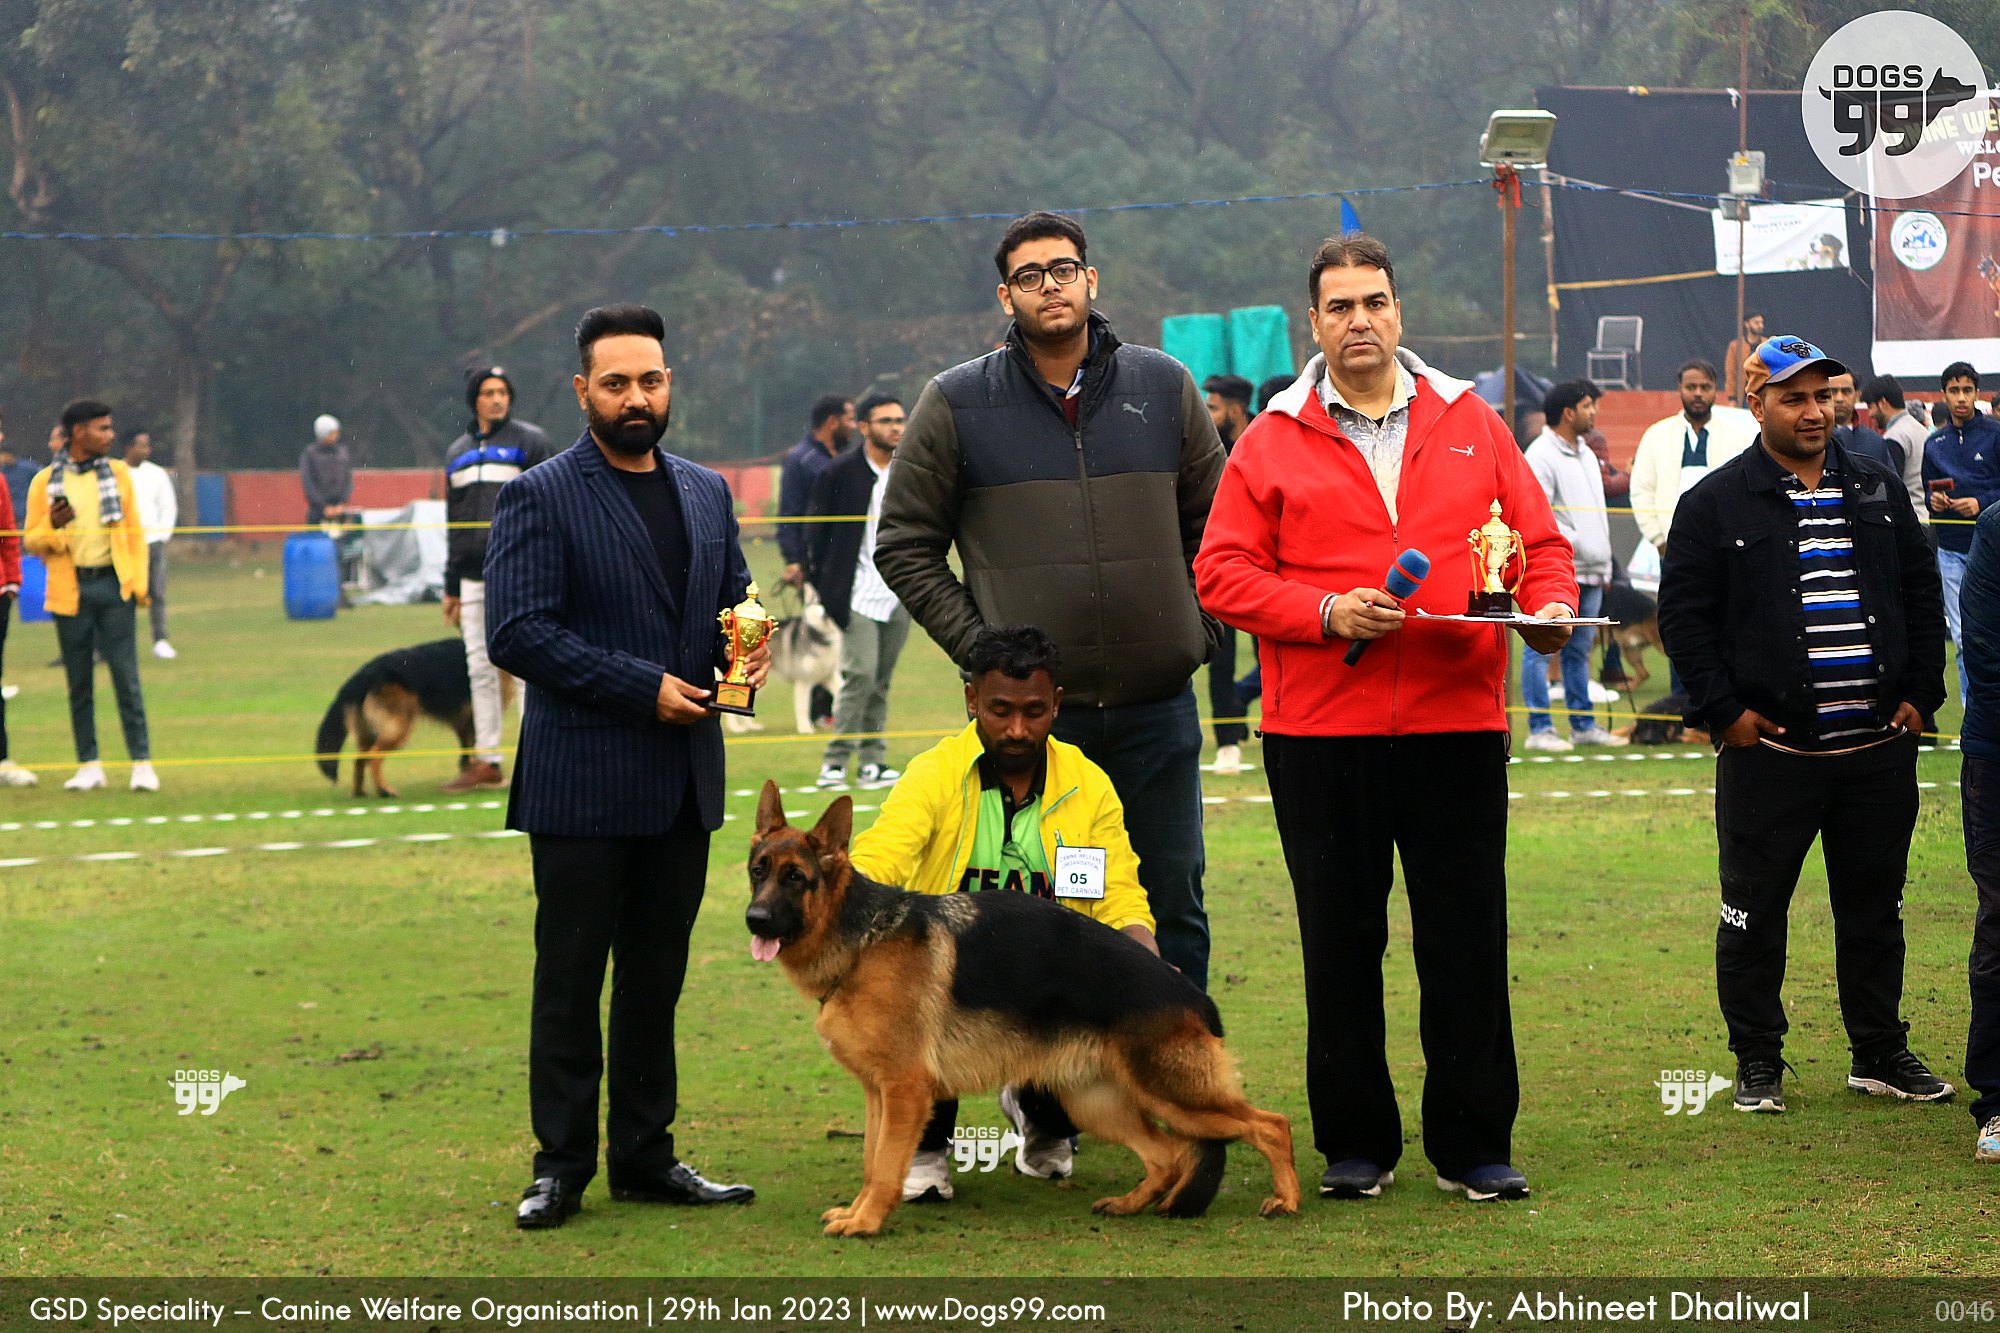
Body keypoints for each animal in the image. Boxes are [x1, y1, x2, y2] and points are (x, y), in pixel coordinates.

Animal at [314, 640, 510, 797]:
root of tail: (363, 675)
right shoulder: (475, 719)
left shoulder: (464, 723)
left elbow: (466, 754)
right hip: (398, 728)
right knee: (374, 757)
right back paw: (384, 790)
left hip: (369, 732)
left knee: (360, 759)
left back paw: (359, 792)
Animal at [745, 783, 1300, 1238]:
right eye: (758, 872)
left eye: (796, 877)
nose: (754, 919)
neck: (861, 938)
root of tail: (1193, 994)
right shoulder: (878, 1094)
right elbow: (870, 1161)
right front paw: (857, 1213)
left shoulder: (904, 1091)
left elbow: (883, 1167)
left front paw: (866, 1223)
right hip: (1098, 1102)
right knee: (1169, 1156)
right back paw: (1129, 1204)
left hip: (1174, 1095)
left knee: (1270, 1125)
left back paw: (1286, 1200)